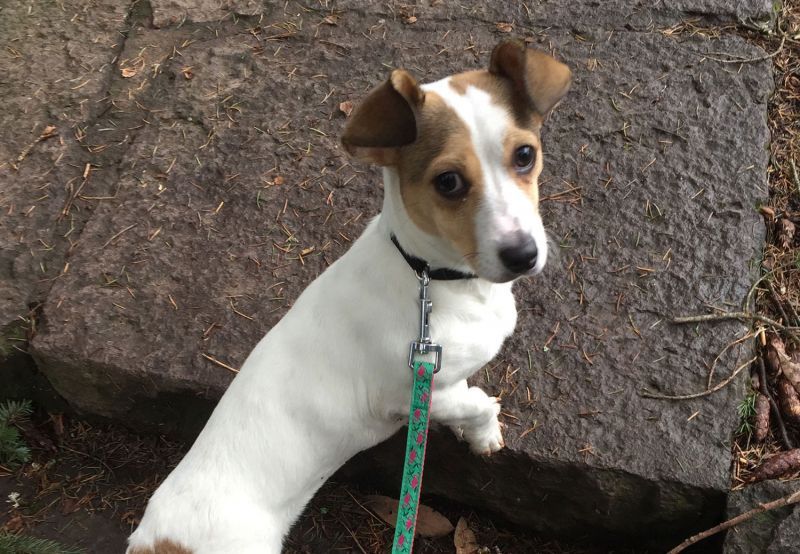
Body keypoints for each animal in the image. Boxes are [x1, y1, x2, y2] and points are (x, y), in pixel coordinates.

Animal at [126, 40, 568, 552]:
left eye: (525, 155)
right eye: (448, 182)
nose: (523, 255)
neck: (430, 278)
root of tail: (155, 540)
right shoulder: (408, 394)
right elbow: (473, 400)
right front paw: (485, 432)